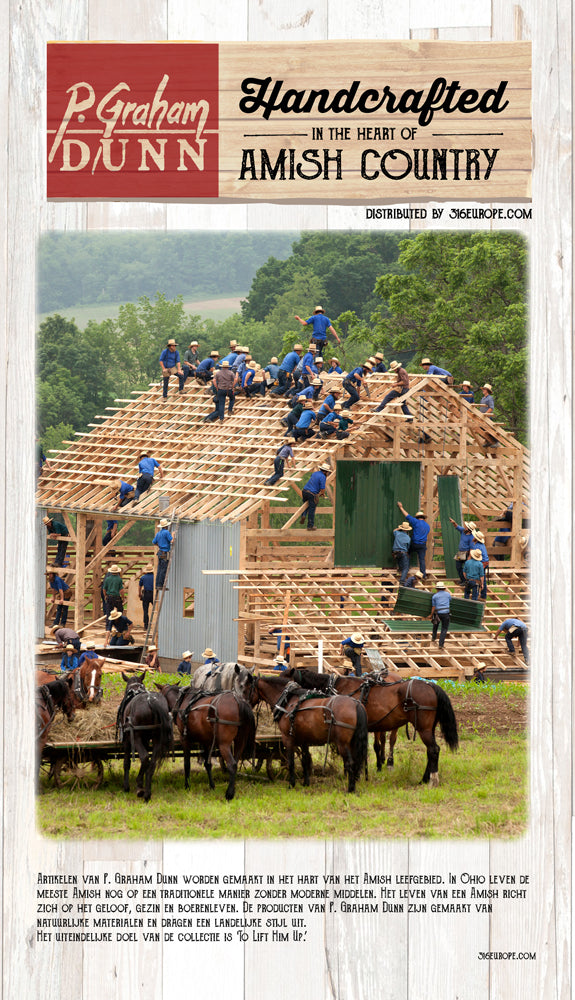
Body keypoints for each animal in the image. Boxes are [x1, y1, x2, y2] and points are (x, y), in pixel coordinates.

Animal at [238, 668, 368, 792]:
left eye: (245, 689)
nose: (241, 704)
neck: (288, 701)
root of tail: (356, 704)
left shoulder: (288, 738)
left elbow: (290, 762)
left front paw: (291, 784)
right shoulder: (303, 740)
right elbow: (305, 760)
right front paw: (306, 783)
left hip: (343, 744)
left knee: (350, 763)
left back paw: (351, 788)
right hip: (352, 742)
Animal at [286, 668, 460, 784]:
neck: (339, 688)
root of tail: (430, 685)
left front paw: (351, 774)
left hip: (423, 729)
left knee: (433, 750)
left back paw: (432, 779)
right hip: (429, 728)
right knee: (430, 751)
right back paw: (424, 778)